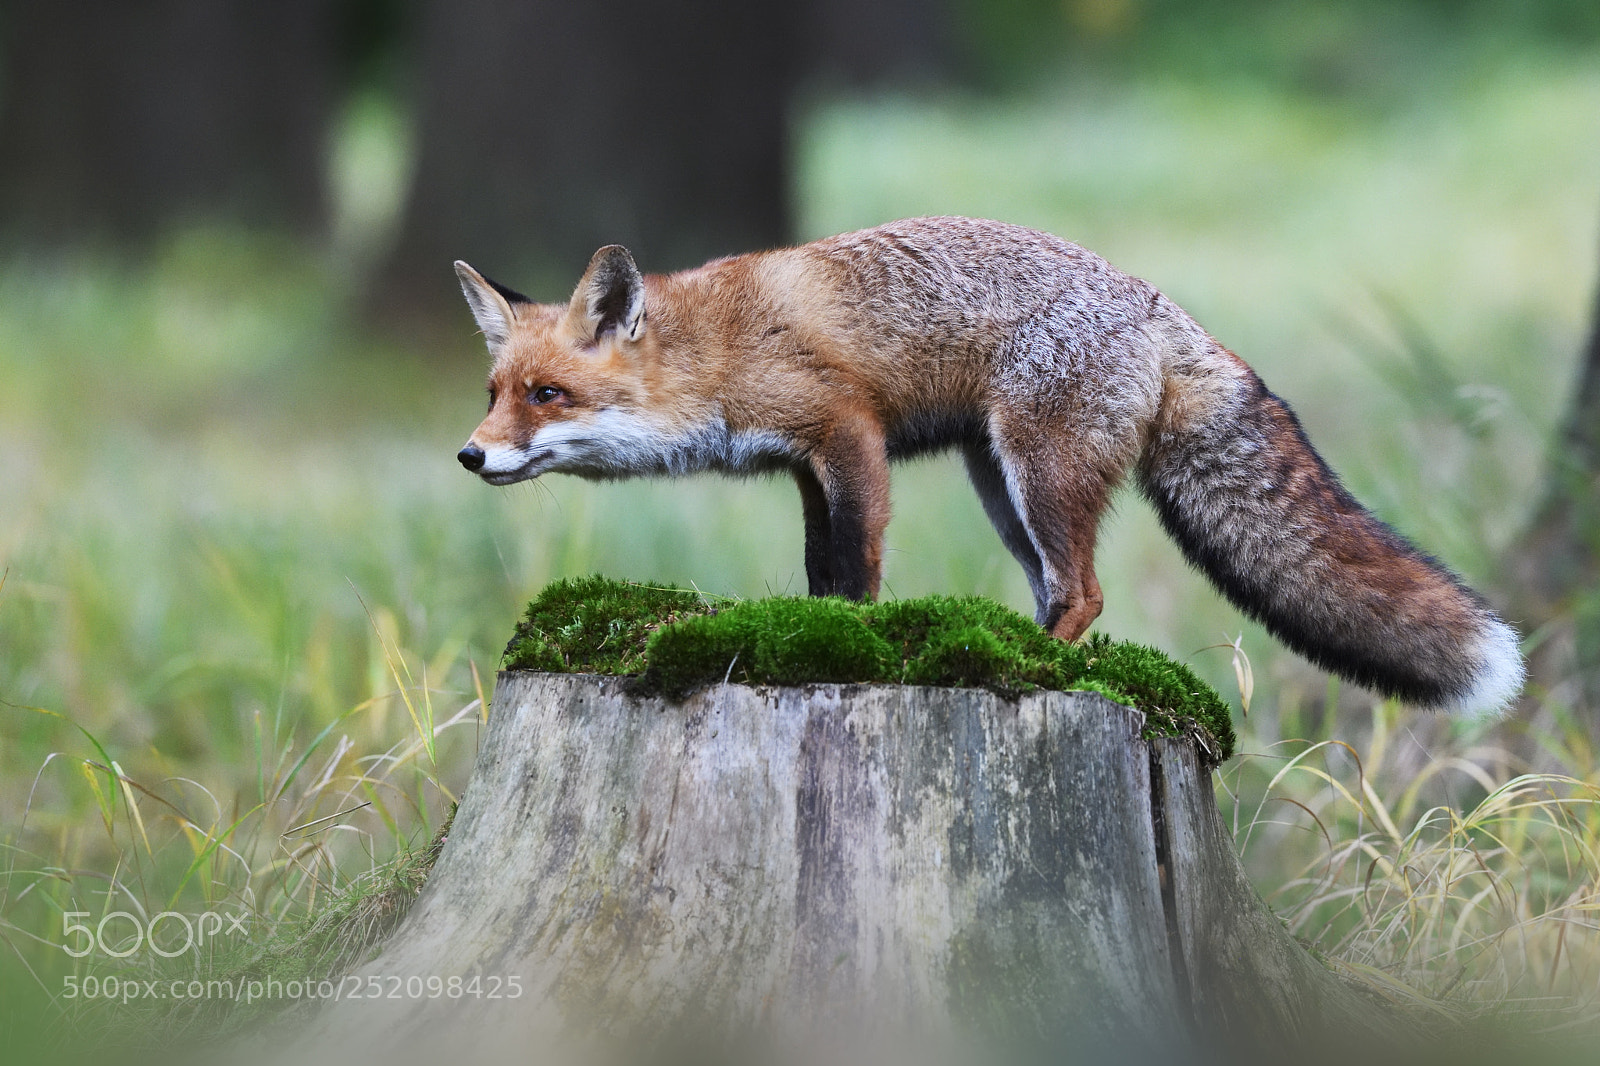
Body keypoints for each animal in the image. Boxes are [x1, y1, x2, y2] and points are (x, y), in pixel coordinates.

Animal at [453, 216, 1523, 717]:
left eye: (546, 396)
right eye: (494, 390)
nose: (469, 453)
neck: (715, 349)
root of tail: (1161, 305)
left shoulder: (849, 433)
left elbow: (857, 570)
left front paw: (854, 648)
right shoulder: (804, 468)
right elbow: (819, 571)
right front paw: (823, 631)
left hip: (1037, 471)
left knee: (1087, 594)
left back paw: (1029, 668)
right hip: (1000, 488)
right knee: (1061, 591)